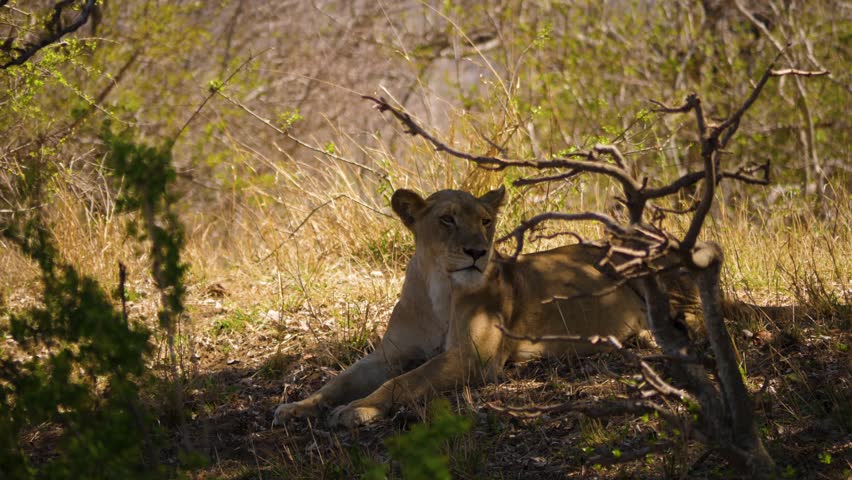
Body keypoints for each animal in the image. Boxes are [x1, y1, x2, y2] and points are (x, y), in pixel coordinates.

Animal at [273, 186, 675, 428]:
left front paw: (358, 409)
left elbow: (405, 381)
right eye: (447, 219)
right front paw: (297, 407)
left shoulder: (474, 356)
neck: (439, 286)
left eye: (486, 221)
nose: (477, 252)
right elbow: (340, 380)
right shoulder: (388, 354)